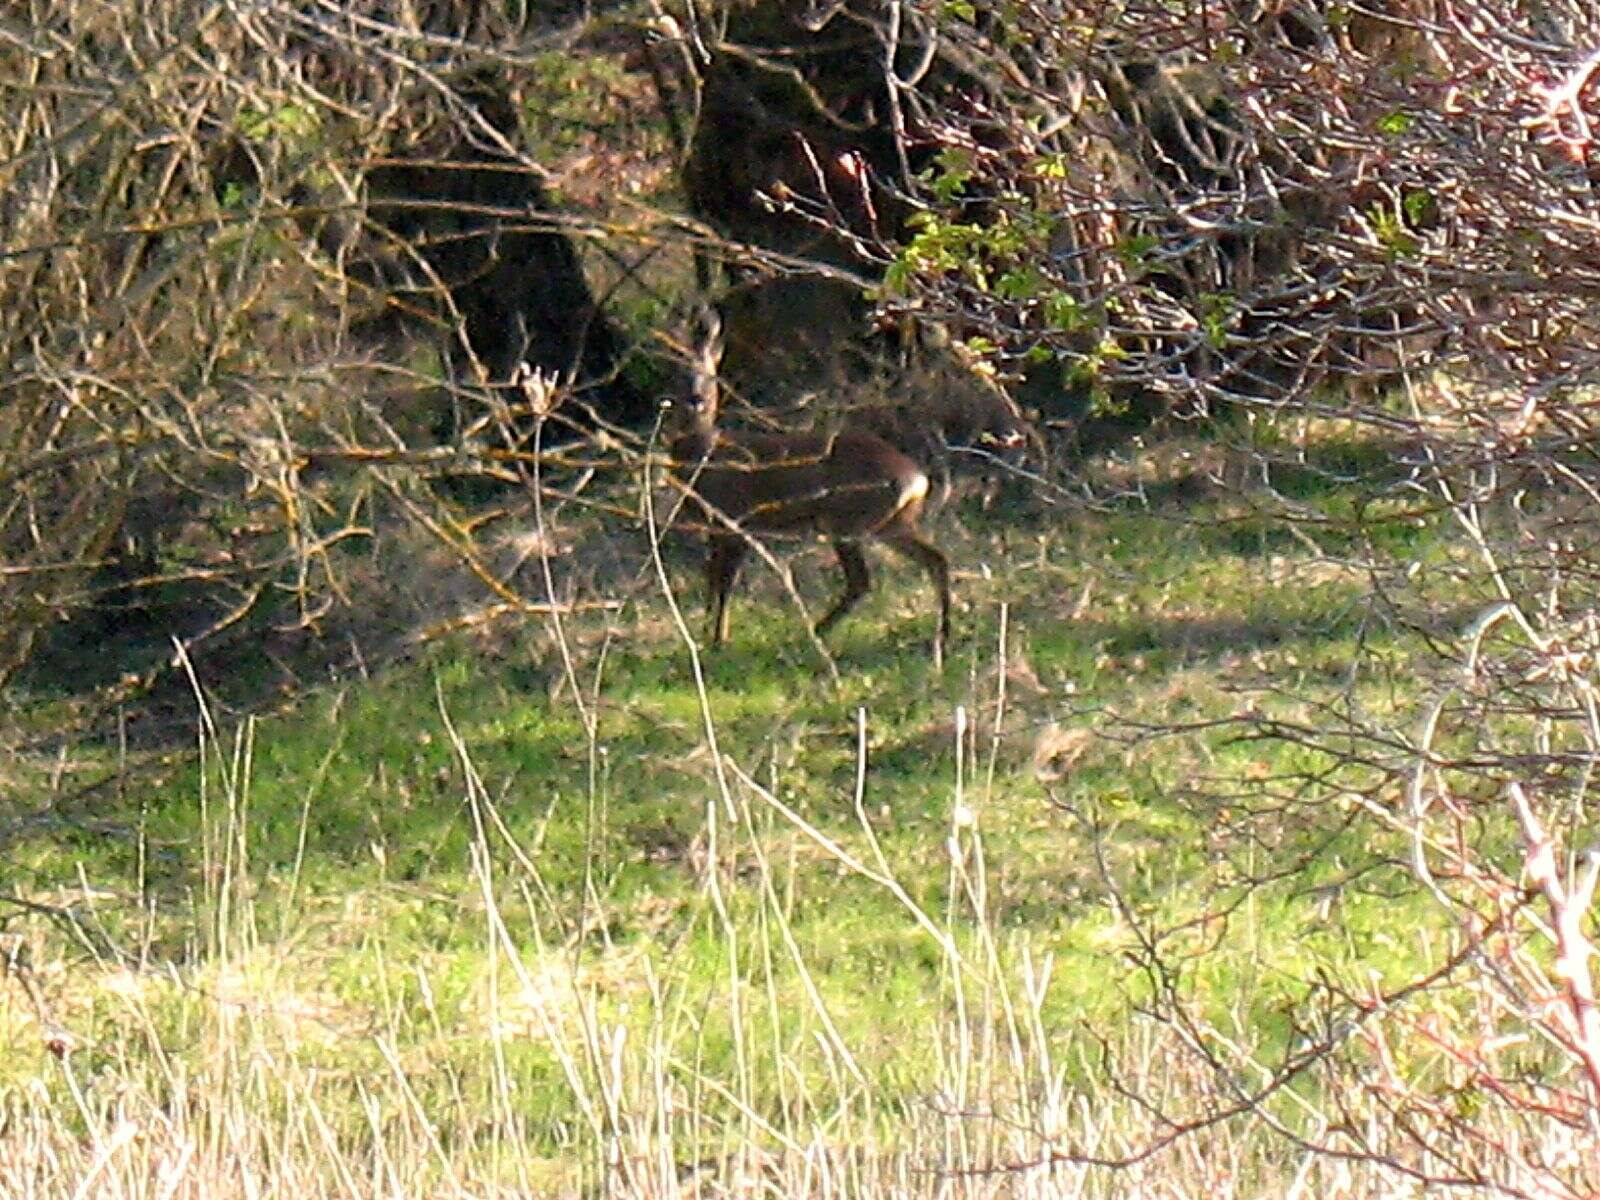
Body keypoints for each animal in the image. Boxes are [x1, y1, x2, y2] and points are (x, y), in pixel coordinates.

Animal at [665, 312, 947, 668]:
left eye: (709, 373)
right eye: (678, 369)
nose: (696, 399)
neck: (705, 456)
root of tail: (917, 479)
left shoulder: (736, 519)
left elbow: (724, 583)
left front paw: (716, 642)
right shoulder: (718, 526)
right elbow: (713, 580)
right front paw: (705, 637)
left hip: (847, 519)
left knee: (861, 580)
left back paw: (810, 633)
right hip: (890, 522)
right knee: (935, 559)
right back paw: (942, 635)